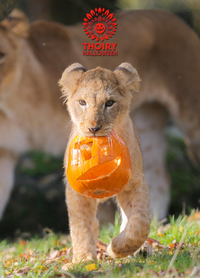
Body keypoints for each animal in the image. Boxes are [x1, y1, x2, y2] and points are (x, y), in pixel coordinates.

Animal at [0, 9, 200, 224]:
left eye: (2, 55)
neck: (15, 102)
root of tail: (174, 18)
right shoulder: (5, 150)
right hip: (144, 126)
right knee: (158, 179)